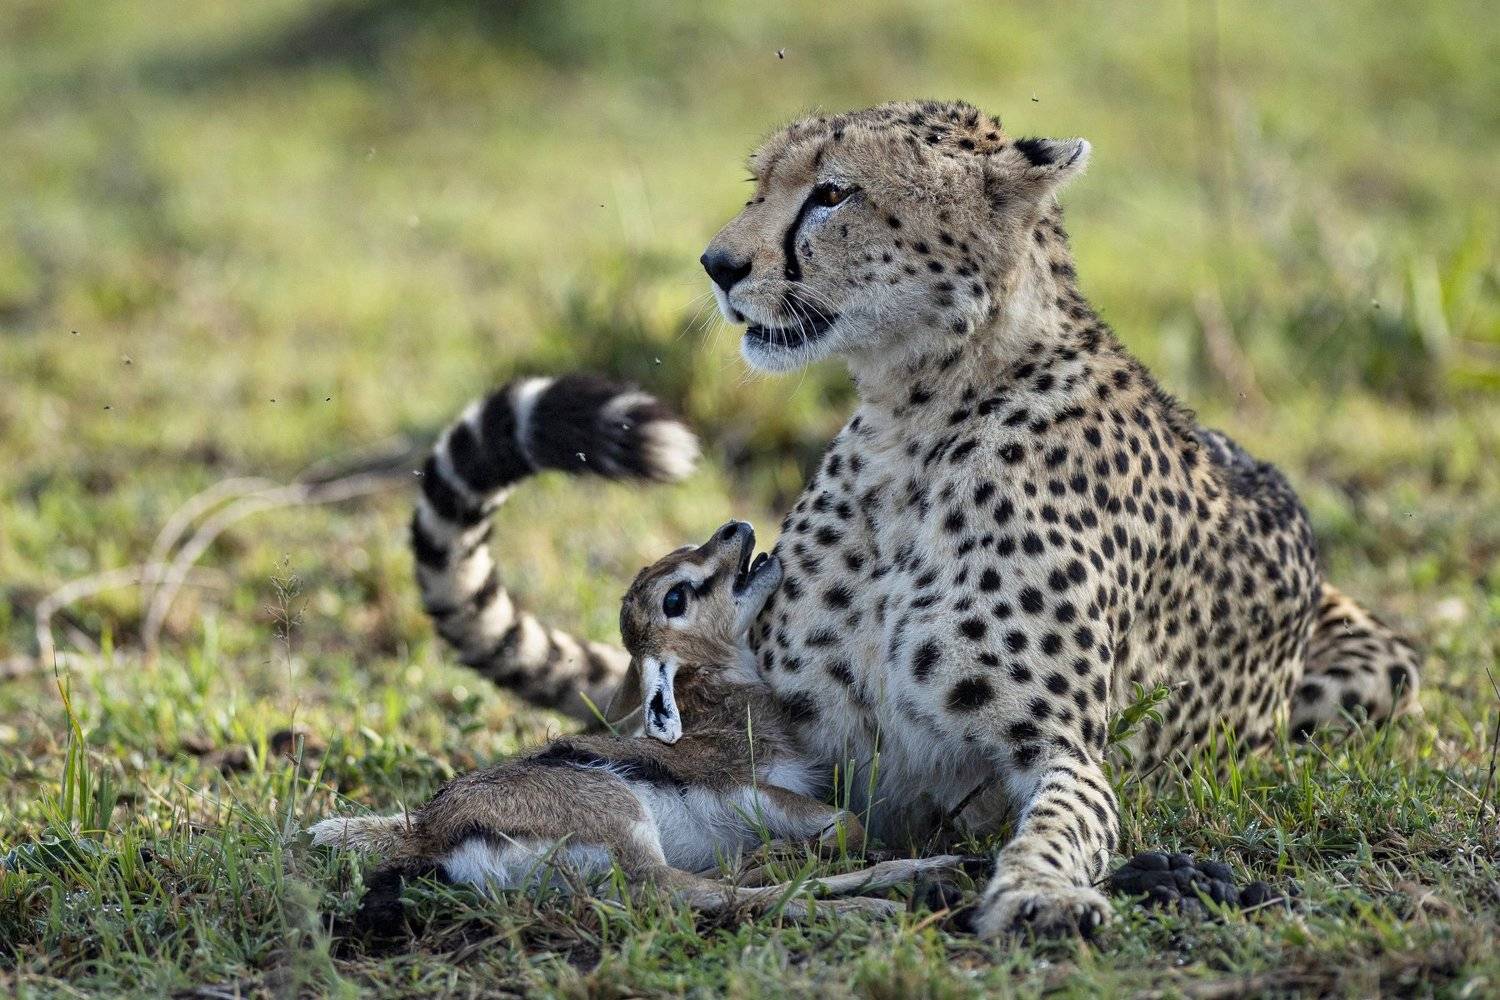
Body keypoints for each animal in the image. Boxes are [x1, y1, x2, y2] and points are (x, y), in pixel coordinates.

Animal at [408, 100, 1423, 937]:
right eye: (760, 184)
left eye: (831, 193)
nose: (718, 265)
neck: (917, 417)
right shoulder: (801, 752)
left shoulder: (1047, 752)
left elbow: (1060, 822)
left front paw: (1040, 894)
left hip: (1379, 676)